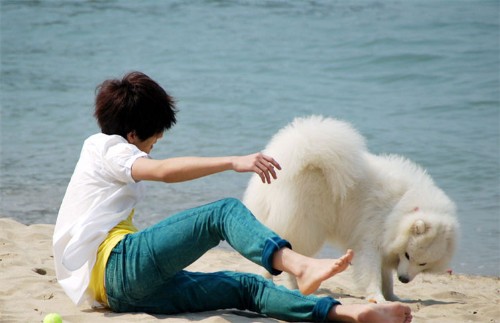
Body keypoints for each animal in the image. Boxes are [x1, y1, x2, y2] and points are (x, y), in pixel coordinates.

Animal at [244, 116, 458, 304]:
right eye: (407, 255)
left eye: (423, 264)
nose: (404, 279)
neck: (399, 208)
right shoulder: (371, 239)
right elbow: (372, 273)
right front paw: (377, 298)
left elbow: (387, 277)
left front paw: (393, 297)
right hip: (307, 227)